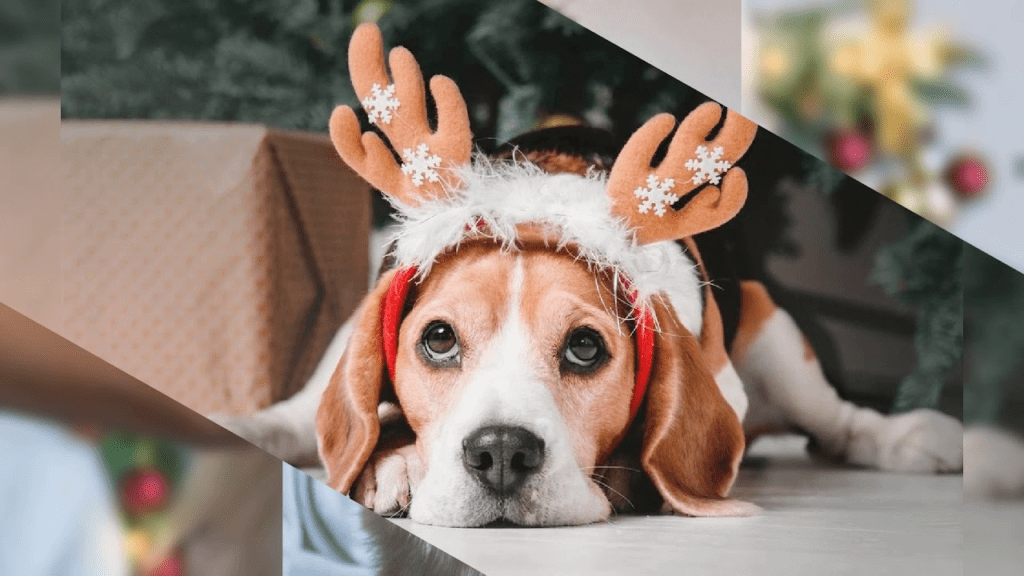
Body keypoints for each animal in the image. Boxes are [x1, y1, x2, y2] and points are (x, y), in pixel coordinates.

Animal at [211, 22, 962, 524]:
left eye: (585, 348)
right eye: (439, 339)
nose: (502, 453)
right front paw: (394, 463)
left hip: (773, 335)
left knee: (839, 422)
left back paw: (913, 438)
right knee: (295, 417)